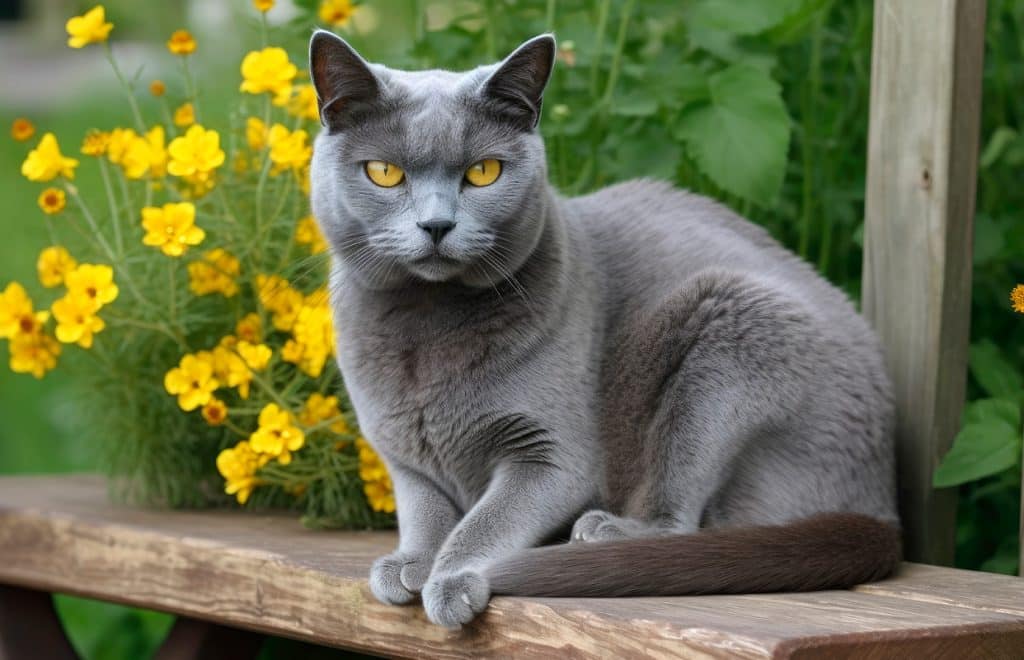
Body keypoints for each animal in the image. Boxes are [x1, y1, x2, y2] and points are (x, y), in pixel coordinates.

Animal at [307, 30, 901, 626]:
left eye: (483, 172)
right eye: (385, 172)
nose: (436, 224)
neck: (425, 325)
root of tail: (884, 500)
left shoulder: (553, 457)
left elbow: (487, 521)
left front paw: (451, 579)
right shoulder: (403, 456)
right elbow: (425, 511)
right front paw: (409, 562)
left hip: (726, 342)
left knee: (680, 520)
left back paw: (604, 531)